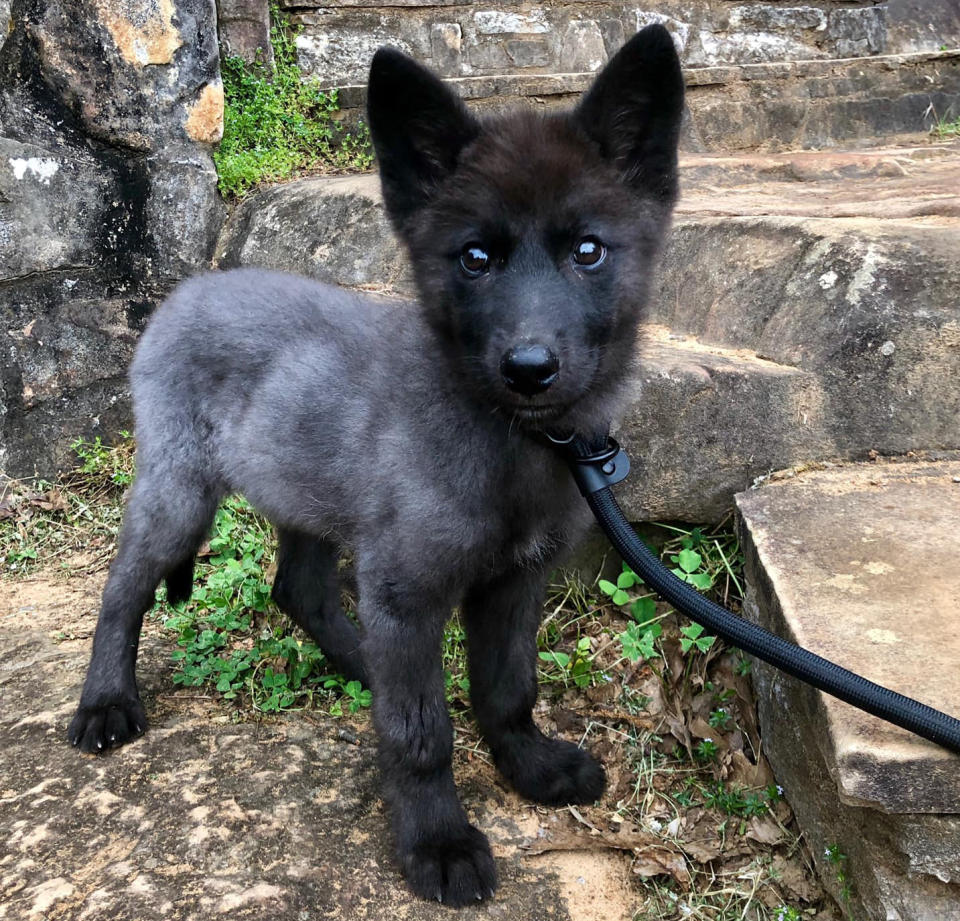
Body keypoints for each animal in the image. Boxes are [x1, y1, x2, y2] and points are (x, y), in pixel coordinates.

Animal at [67, 27, 684, 904]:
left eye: (588, 251)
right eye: (475, 257)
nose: (530, 369)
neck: (506, 439)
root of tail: (183, 294)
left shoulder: (511, 580)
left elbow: (508, 687)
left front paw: (528, 764)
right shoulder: (407, 586)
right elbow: (420, 731)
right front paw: (437, 840)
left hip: (307, 492)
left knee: (300, 590)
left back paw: (360, 662)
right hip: (179, 494)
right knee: (123, 590)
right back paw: (105, 703)